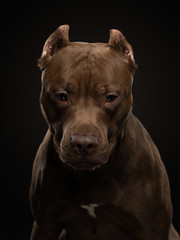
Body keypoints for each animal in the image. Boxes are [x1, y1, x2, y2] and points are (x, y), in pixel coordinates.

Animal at [29, 25, 179, 239]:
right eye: (62, 96)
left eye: (110, 97)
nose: (84, 143)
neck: (93, 178)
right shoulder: (45, 224)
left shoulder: (152, 228)